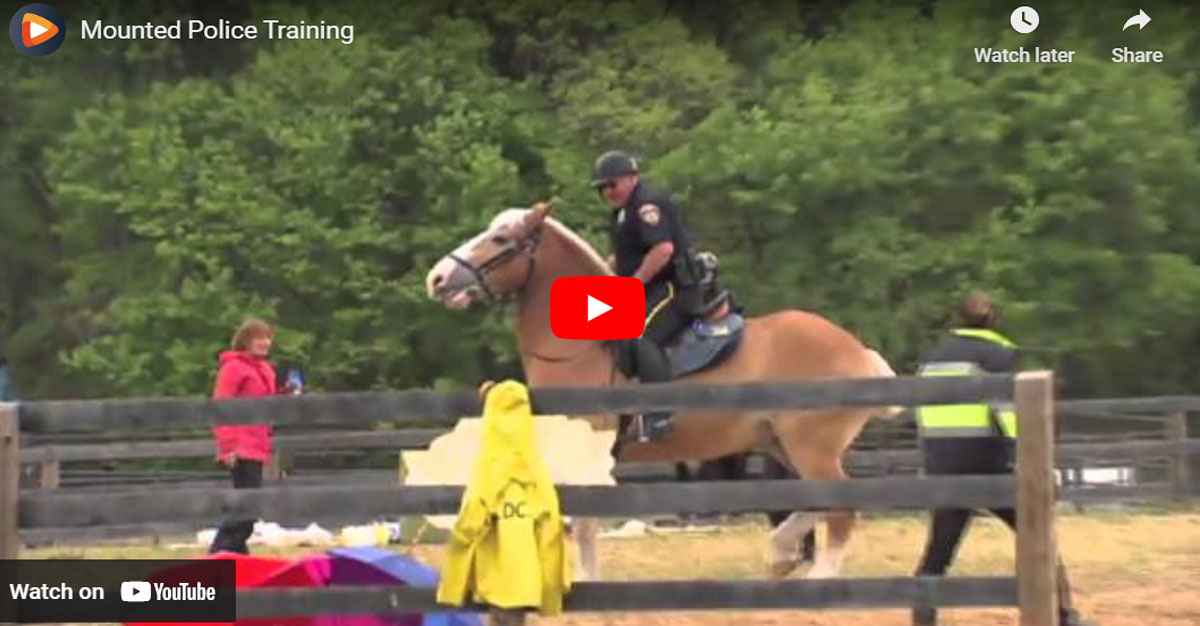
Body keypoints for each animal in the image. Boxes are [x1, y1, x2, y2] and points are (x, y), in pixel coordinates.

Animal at [424, 202, 902, 578]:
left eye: (501, 238)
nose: (437, 278)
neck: (578, 349)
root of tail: (855, 350)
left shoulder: (589, 452)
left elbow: (582, 524)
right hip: (782, 445)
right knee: (819, 500)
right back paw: (780, 553)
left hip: (810, 448)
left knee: (841, 508)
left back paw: (818, 576)